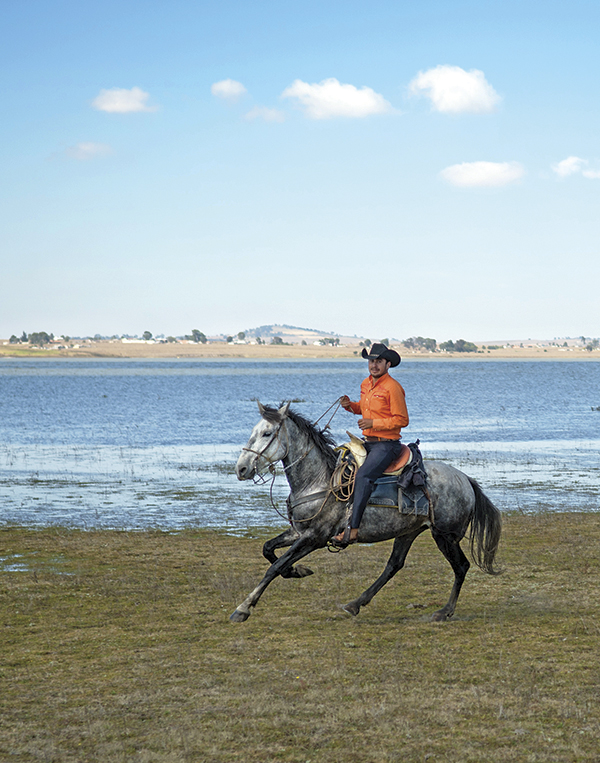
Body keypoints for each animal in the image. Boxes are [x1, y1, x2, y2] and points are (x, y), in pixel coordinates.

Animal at [231, 401, 501, 623]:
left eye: (267, 433)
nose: (241, 469)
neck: (319, 481)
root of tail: (465, 479)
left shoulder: (315, 537)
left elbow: (274, 567)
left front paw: (243, 608)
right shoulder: (299, 532)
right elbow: (268, 549)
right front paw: (297, 571)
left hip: (444, 535)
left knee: (461, 566)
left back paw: (444, 612)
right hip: (408, 532)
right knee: (394, 565)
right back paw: (355, 604)